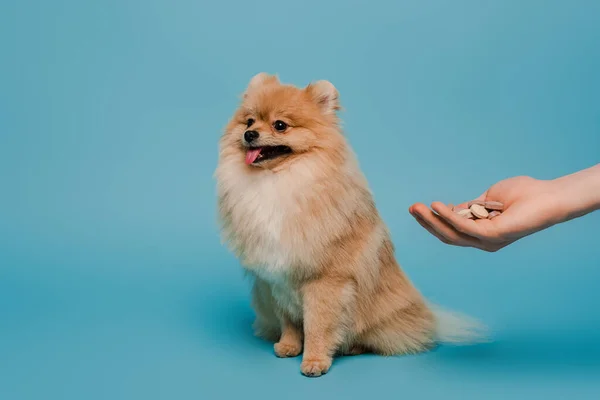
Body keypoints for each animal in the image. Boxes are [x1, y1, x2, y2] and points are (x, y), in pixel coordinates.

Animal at [213, 73, 486, 376]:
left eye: (280, 125)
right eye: (249, 121)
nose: (249, 134)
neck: (277, 180)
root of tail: (429, 319)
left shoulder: (325, 280)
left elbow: (318, 325)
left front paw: (315, 360)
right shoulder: (276, 278)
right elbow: (290, 321)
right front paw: (289, 346)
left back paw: (353, 347)